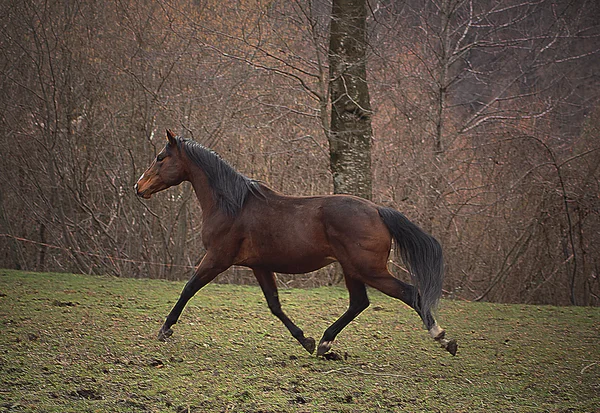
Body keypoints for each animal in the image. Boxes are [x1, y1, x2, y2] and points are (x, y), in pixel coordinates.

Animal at [134, 130, 458, 356]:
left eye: (160, 157)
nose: (139, 187)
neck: (232, 205)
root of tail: (378, 210)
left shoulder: (217, 258)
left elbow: (189, 288)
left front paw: (164, 329)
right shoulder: (259, 266)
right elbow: (275, 305)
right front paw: (305, 340)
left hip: (369, 269)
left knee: (410, 294)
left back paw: (443, 338)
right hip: (352, 269)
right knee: (359, 302)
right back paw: (325, 343)